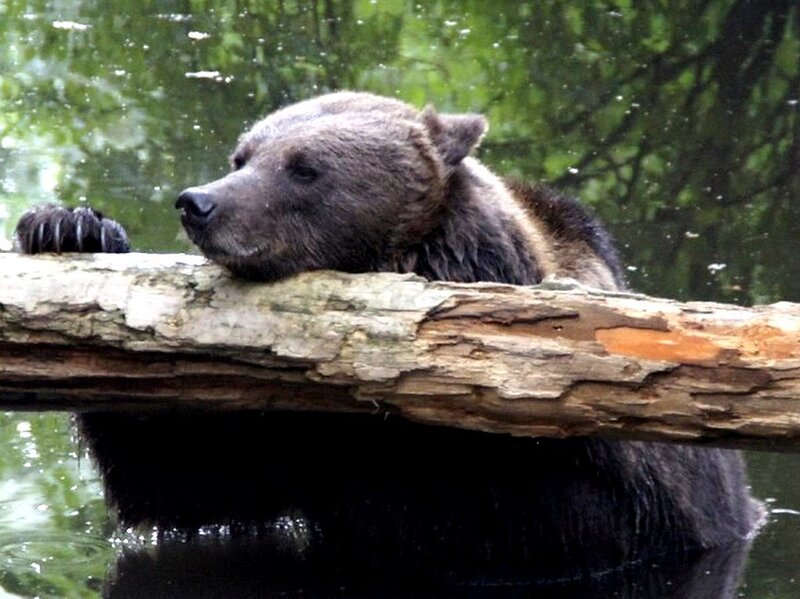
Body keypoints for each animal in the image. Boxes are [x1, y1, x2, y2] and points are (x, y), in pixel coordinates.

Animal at [14, 91, 762, 587]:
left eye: (304, 166)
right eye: (242, 153)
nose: (200, 202)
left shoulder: (601, 491)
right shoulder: (287, 434)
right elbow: (181, 479)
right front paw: (68, 226)